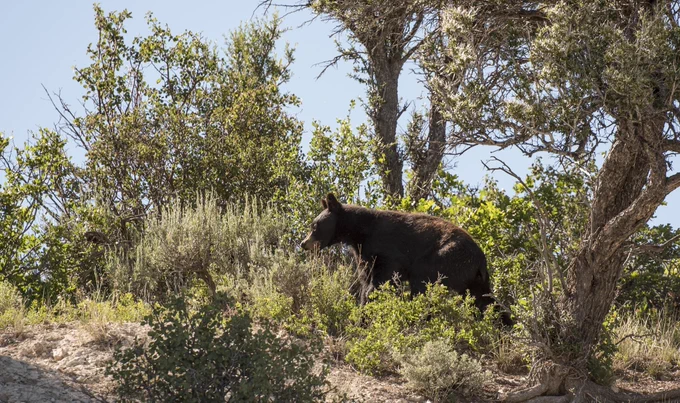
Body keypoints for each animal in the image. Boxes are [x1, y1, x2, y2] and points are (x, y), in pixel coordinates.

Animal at [300, 193, 512, 326]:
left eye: (314, 226)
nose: (304, 243)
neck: (359, 232)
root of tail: (481, 259)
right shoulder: (364, 255)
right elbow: (365, 279)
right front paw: (362, 312)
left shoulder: (387, 250)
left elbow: (381, 281)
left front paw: (364, 315)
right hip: (474, 278)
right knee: (484, 299)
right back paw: (505, 325)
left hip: (447, 257)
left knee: (423, 282)